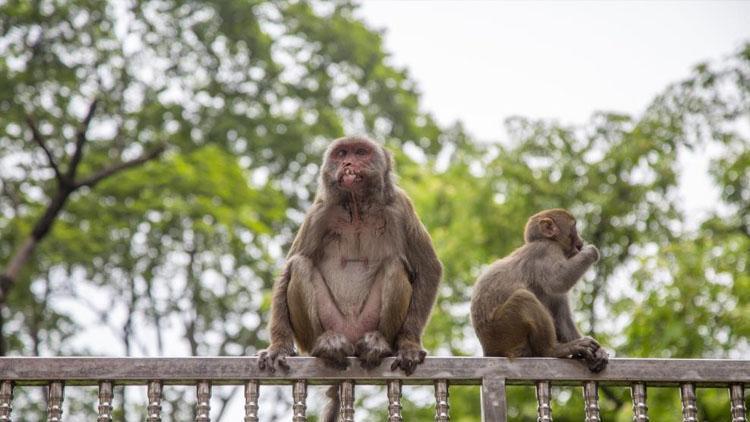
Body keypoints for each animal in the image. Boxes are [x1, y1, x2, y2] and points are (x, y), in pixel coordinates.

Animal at [260, 138, 444, 418]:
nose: (347, 163)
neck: (357, 206)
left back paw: (377, 344)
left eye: (360, 152)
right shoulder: (319, 212)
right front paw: (278, 347)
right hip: (326, 327)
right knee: (300, 265)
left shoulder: (400, 206)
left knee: (395, 266)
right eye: (342, 153)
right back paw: (326, 345)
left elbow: (428, 268)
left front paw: (409, 345)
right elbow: (289, 267)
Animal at [476, 209, 612, 372]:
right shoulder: (546, 250)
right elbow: (558, 280)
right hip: (502, 332)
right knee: (523, 298)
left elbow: (561, 317)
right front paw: (591, 251)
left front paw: (599, 352)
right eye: (574, 228)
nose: (582, 241)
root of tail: (489, 350)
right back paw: (552, 350)